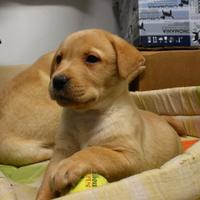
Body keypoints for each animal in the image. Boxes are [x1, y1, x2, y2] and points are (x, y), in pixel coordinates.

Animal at [36, 28, 184, 199]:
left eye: (92, 58)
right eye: (59, 59)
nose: (57, 80)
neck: (85, 115)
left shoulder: (130, 157)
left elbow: (95, 151)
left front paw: (67, 167)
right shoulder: (61, 151)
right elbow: (46, 182)